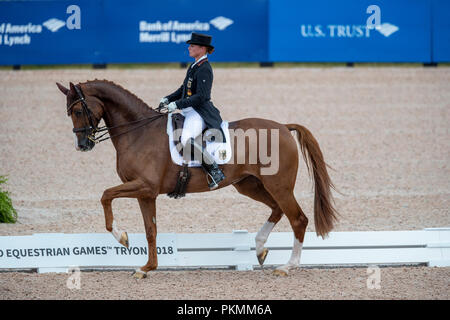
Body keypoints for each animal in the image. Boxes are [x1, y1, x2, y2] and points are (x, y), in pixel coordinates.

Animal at [56, 79, 338, 278]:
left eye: (78, 110)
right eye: (69, 112)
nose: (82, 145)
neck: (138, 132)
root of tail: (283, 127)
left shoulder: (144, 186)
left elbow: (106, 196)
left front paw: (122, 237)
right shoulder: (146, 193)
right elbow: (150, 230)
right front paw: (146, 268)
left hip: (278, 185)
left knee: (298, 219)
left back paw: (288, 266)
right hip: (249, 185)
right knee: (278, 210)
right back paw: (259, 249)